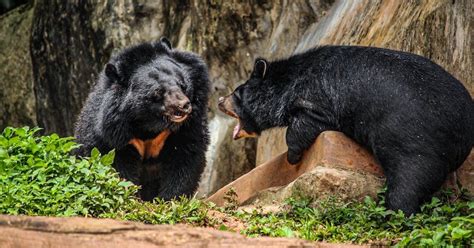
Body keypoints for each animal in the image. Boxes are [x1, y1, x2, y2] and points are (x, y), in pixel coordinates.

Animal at [75, 38, 209, 202]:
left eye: (182, 84)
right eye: (158, 92)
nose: (184, 106)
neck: (147, 124)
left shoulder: (185, 128)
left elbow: (185, 157)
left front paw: (169, 199)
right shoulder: (111, 134)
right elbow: (114, 164)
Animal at [219, 45, 474, 215]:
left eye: (238, 93)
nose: (220, 100)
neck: (289, 82)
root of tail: (465, 136)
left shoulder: (317, 100)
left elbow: (303, 126)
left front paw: (293, 157)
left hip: (416, 142)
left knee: (408, 182)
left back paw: (393, 214)